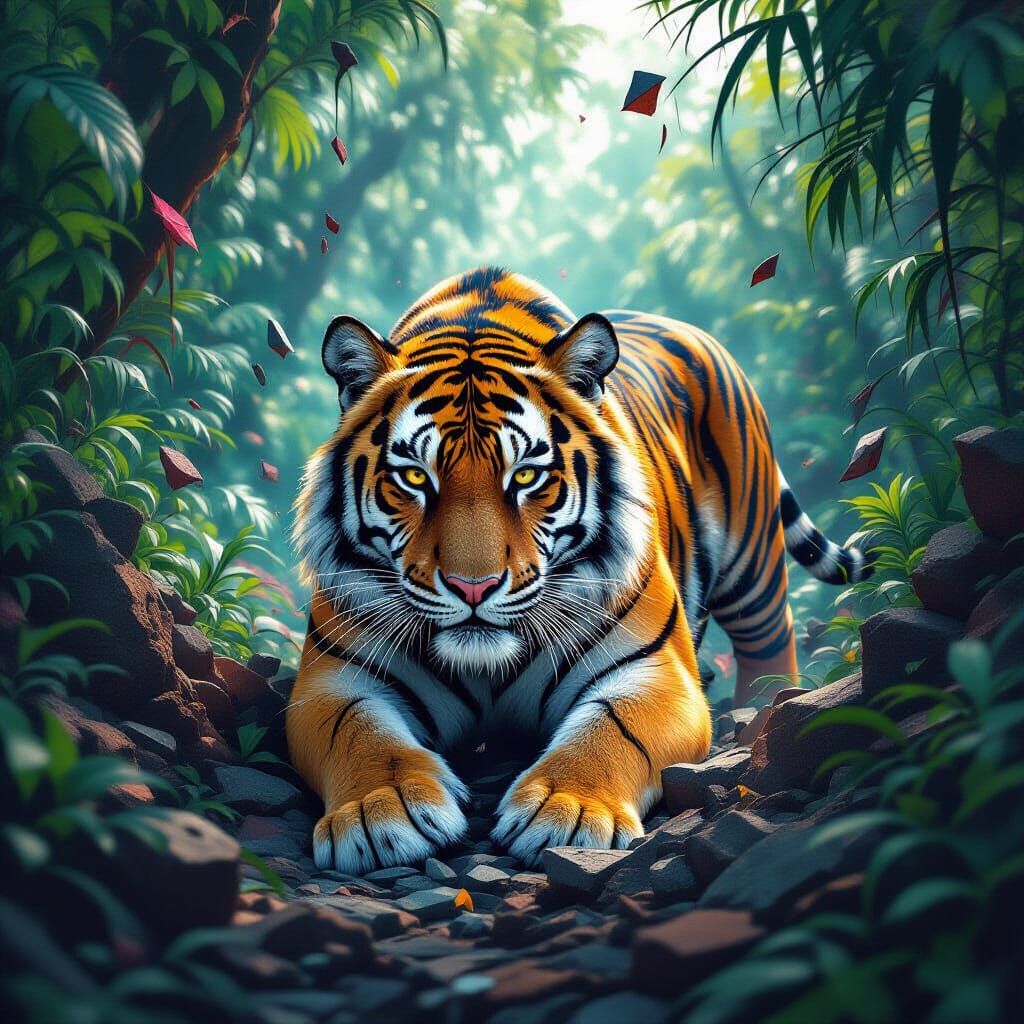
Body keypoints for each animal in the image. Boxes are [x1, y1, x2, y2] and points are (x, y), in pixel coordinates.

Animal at [287, 266, 871, 872]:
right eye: (415, 478)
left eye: (525, 476)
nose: (474, 587)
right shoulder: (332, 682)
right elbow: (359, 732)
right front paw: (382, 810)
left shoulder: (656, 672)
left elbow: (610, 729)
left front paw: (567, 809)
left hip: (753, 564)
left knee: (770, 636)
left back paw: (763, 705)